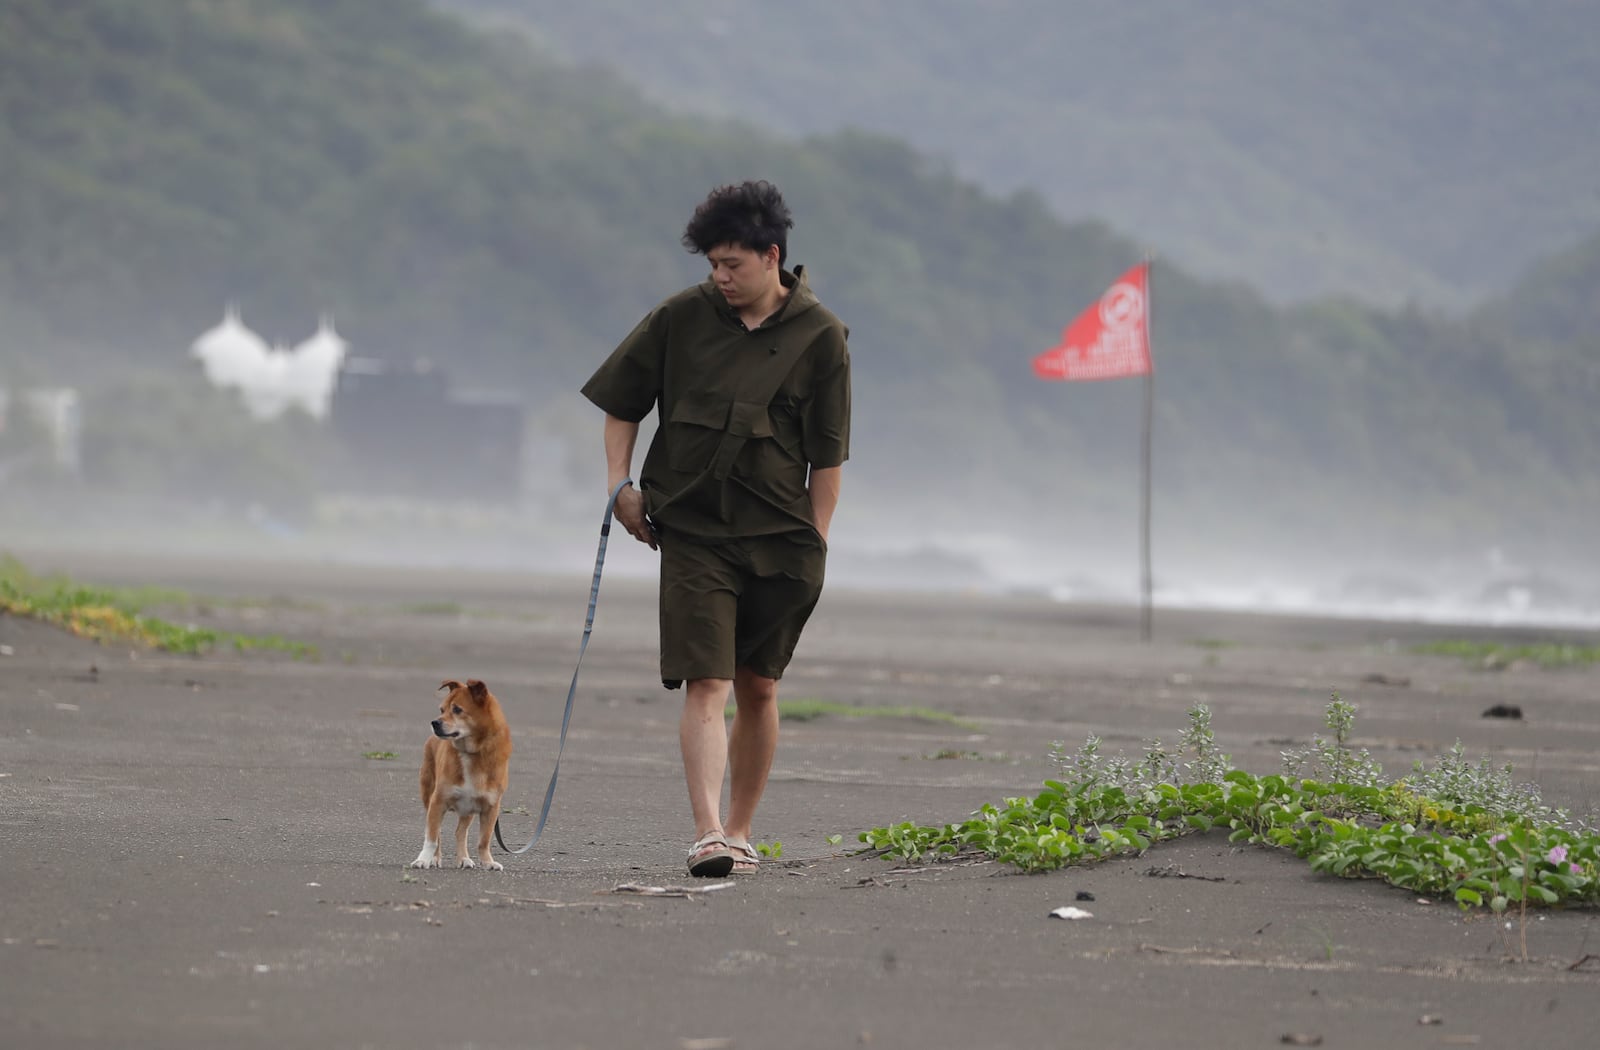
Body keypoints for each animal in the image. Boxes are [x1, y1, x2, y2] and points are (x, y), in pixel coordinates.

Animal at [409, 681, 508, 870]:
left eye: (457, 709)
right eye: (441, 709)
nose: (434, 722)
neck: (472, 753)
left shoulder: (491, 807)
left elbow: (484, 840)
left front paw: (488, 862)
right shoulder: (437, 802)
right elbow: (432, 838)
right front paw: (423, 859)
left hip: (467, 809)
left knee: (460, 832)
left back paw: (463, 858)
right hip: (428, 796)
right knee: (438, 834)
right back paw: (435, 858)